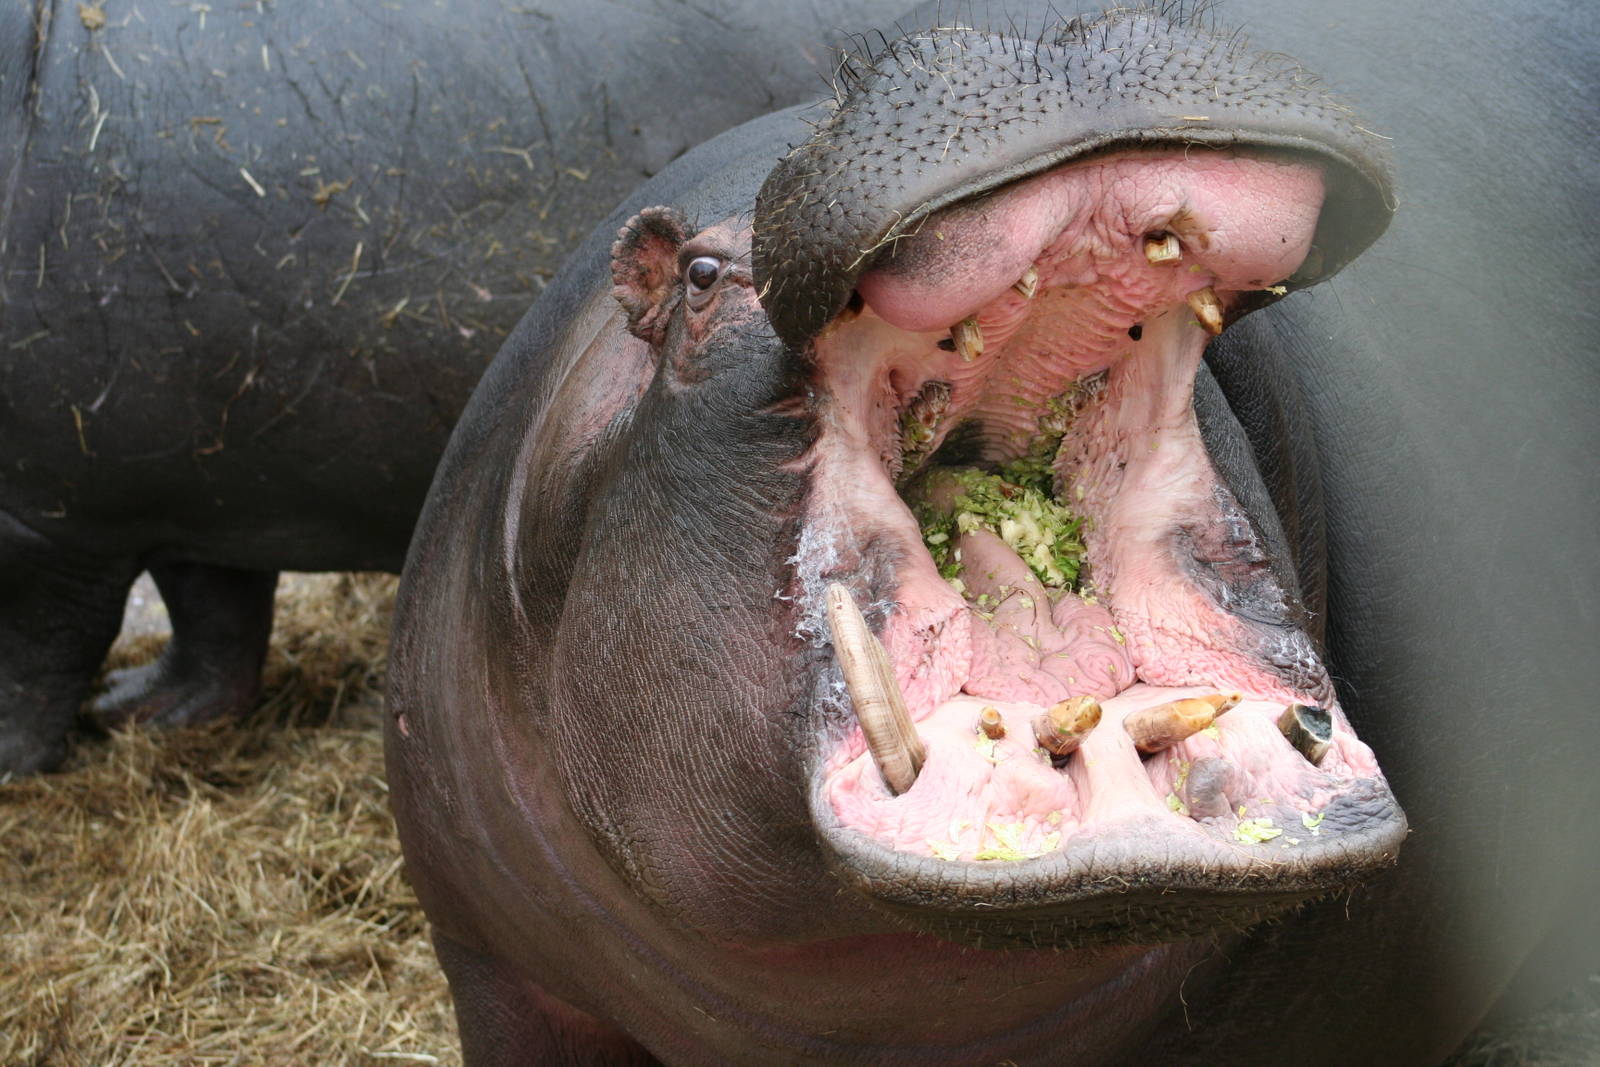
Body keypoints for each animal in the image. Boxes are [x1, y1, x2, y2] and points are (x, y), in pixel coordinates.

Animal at [0, 0, 913, 776]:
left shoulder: (46, 526)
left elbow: (37, 660)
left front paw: (17, 763)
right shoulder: (193, 478)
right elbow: (210, 612)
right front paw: (142, 710)